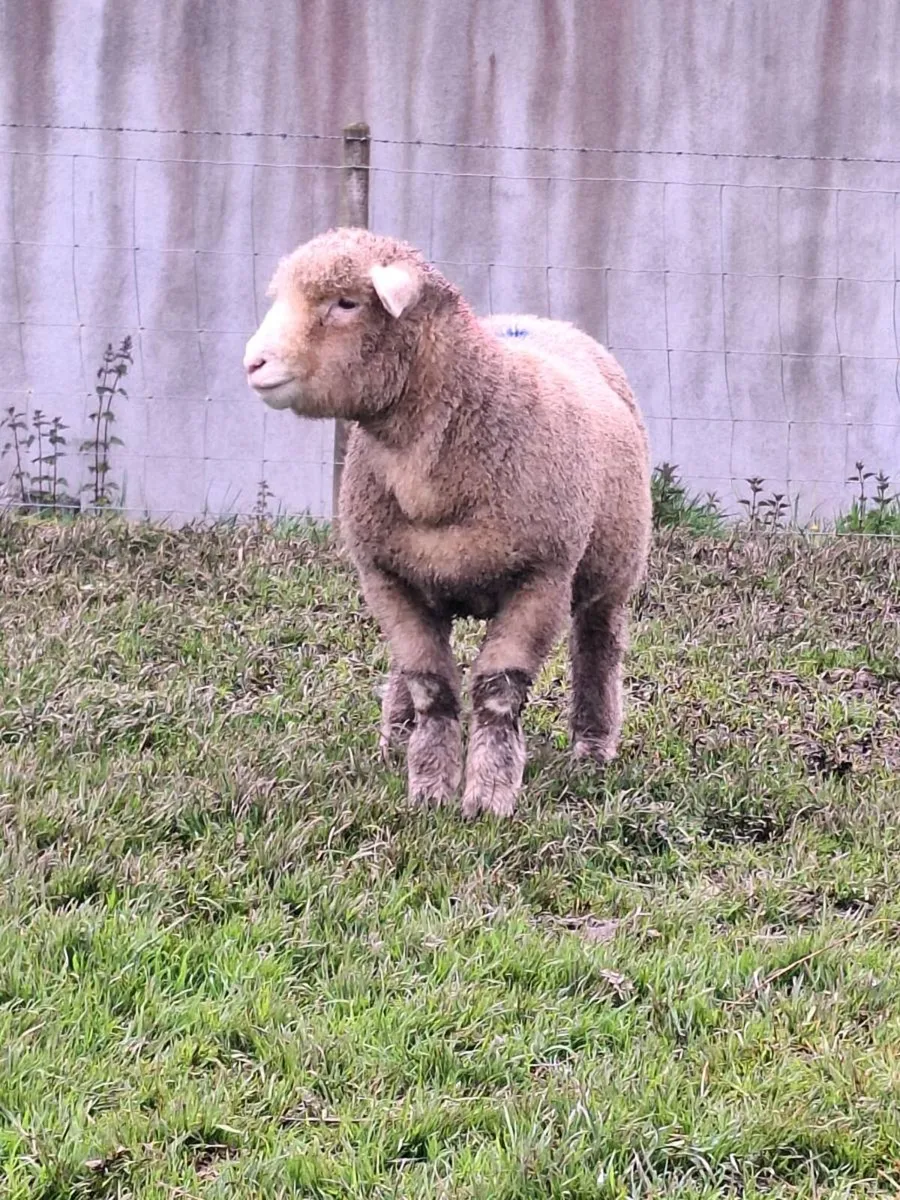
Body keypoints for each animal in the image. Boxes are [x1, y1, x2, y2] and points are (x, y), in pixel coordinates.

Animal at [243, 227, 651, 818]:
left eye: (346, 303)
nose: (253, 363)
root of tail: (538, 319)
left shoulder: (541, 579)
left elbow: (498, 693)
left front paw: (488, 797)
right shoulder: (386, 576)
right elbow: (430, 684)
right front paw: (430, 789)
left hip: (614, 570)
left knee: (598, 648)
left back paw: (593, 749)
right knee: (406, 670)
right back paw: (395, 737)